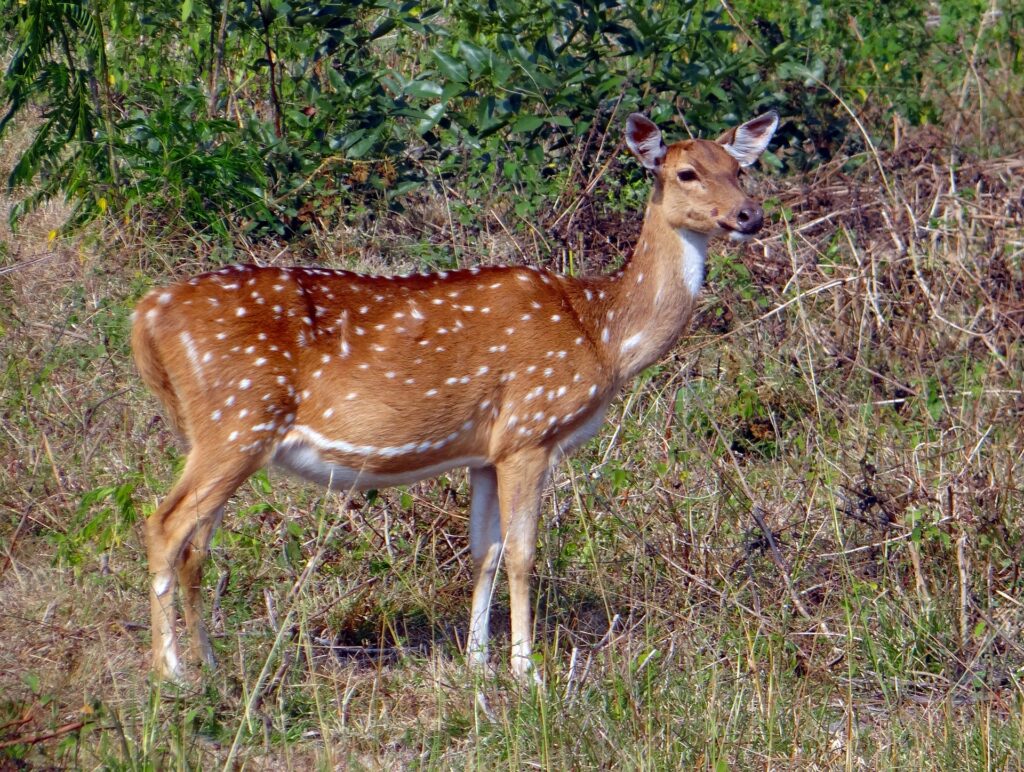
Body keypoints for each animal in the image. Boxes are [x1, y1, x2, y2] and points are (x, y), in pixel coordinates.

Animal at [134, 109, 774, 679]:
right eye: (686, 172)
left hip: (224, 431)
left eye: (740, 168)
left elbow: (482, 552)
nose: (750, 215)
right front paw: (526, 671)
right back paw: (172, 673)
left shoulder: (485, 452)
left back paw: (211, 664)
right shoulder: (529, 430)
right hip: (238, 417)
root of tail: (145, 315)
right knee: (165, 525)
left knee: (196, 545)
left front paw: (476, 662)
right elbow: (523, 553)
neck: (604, 333)